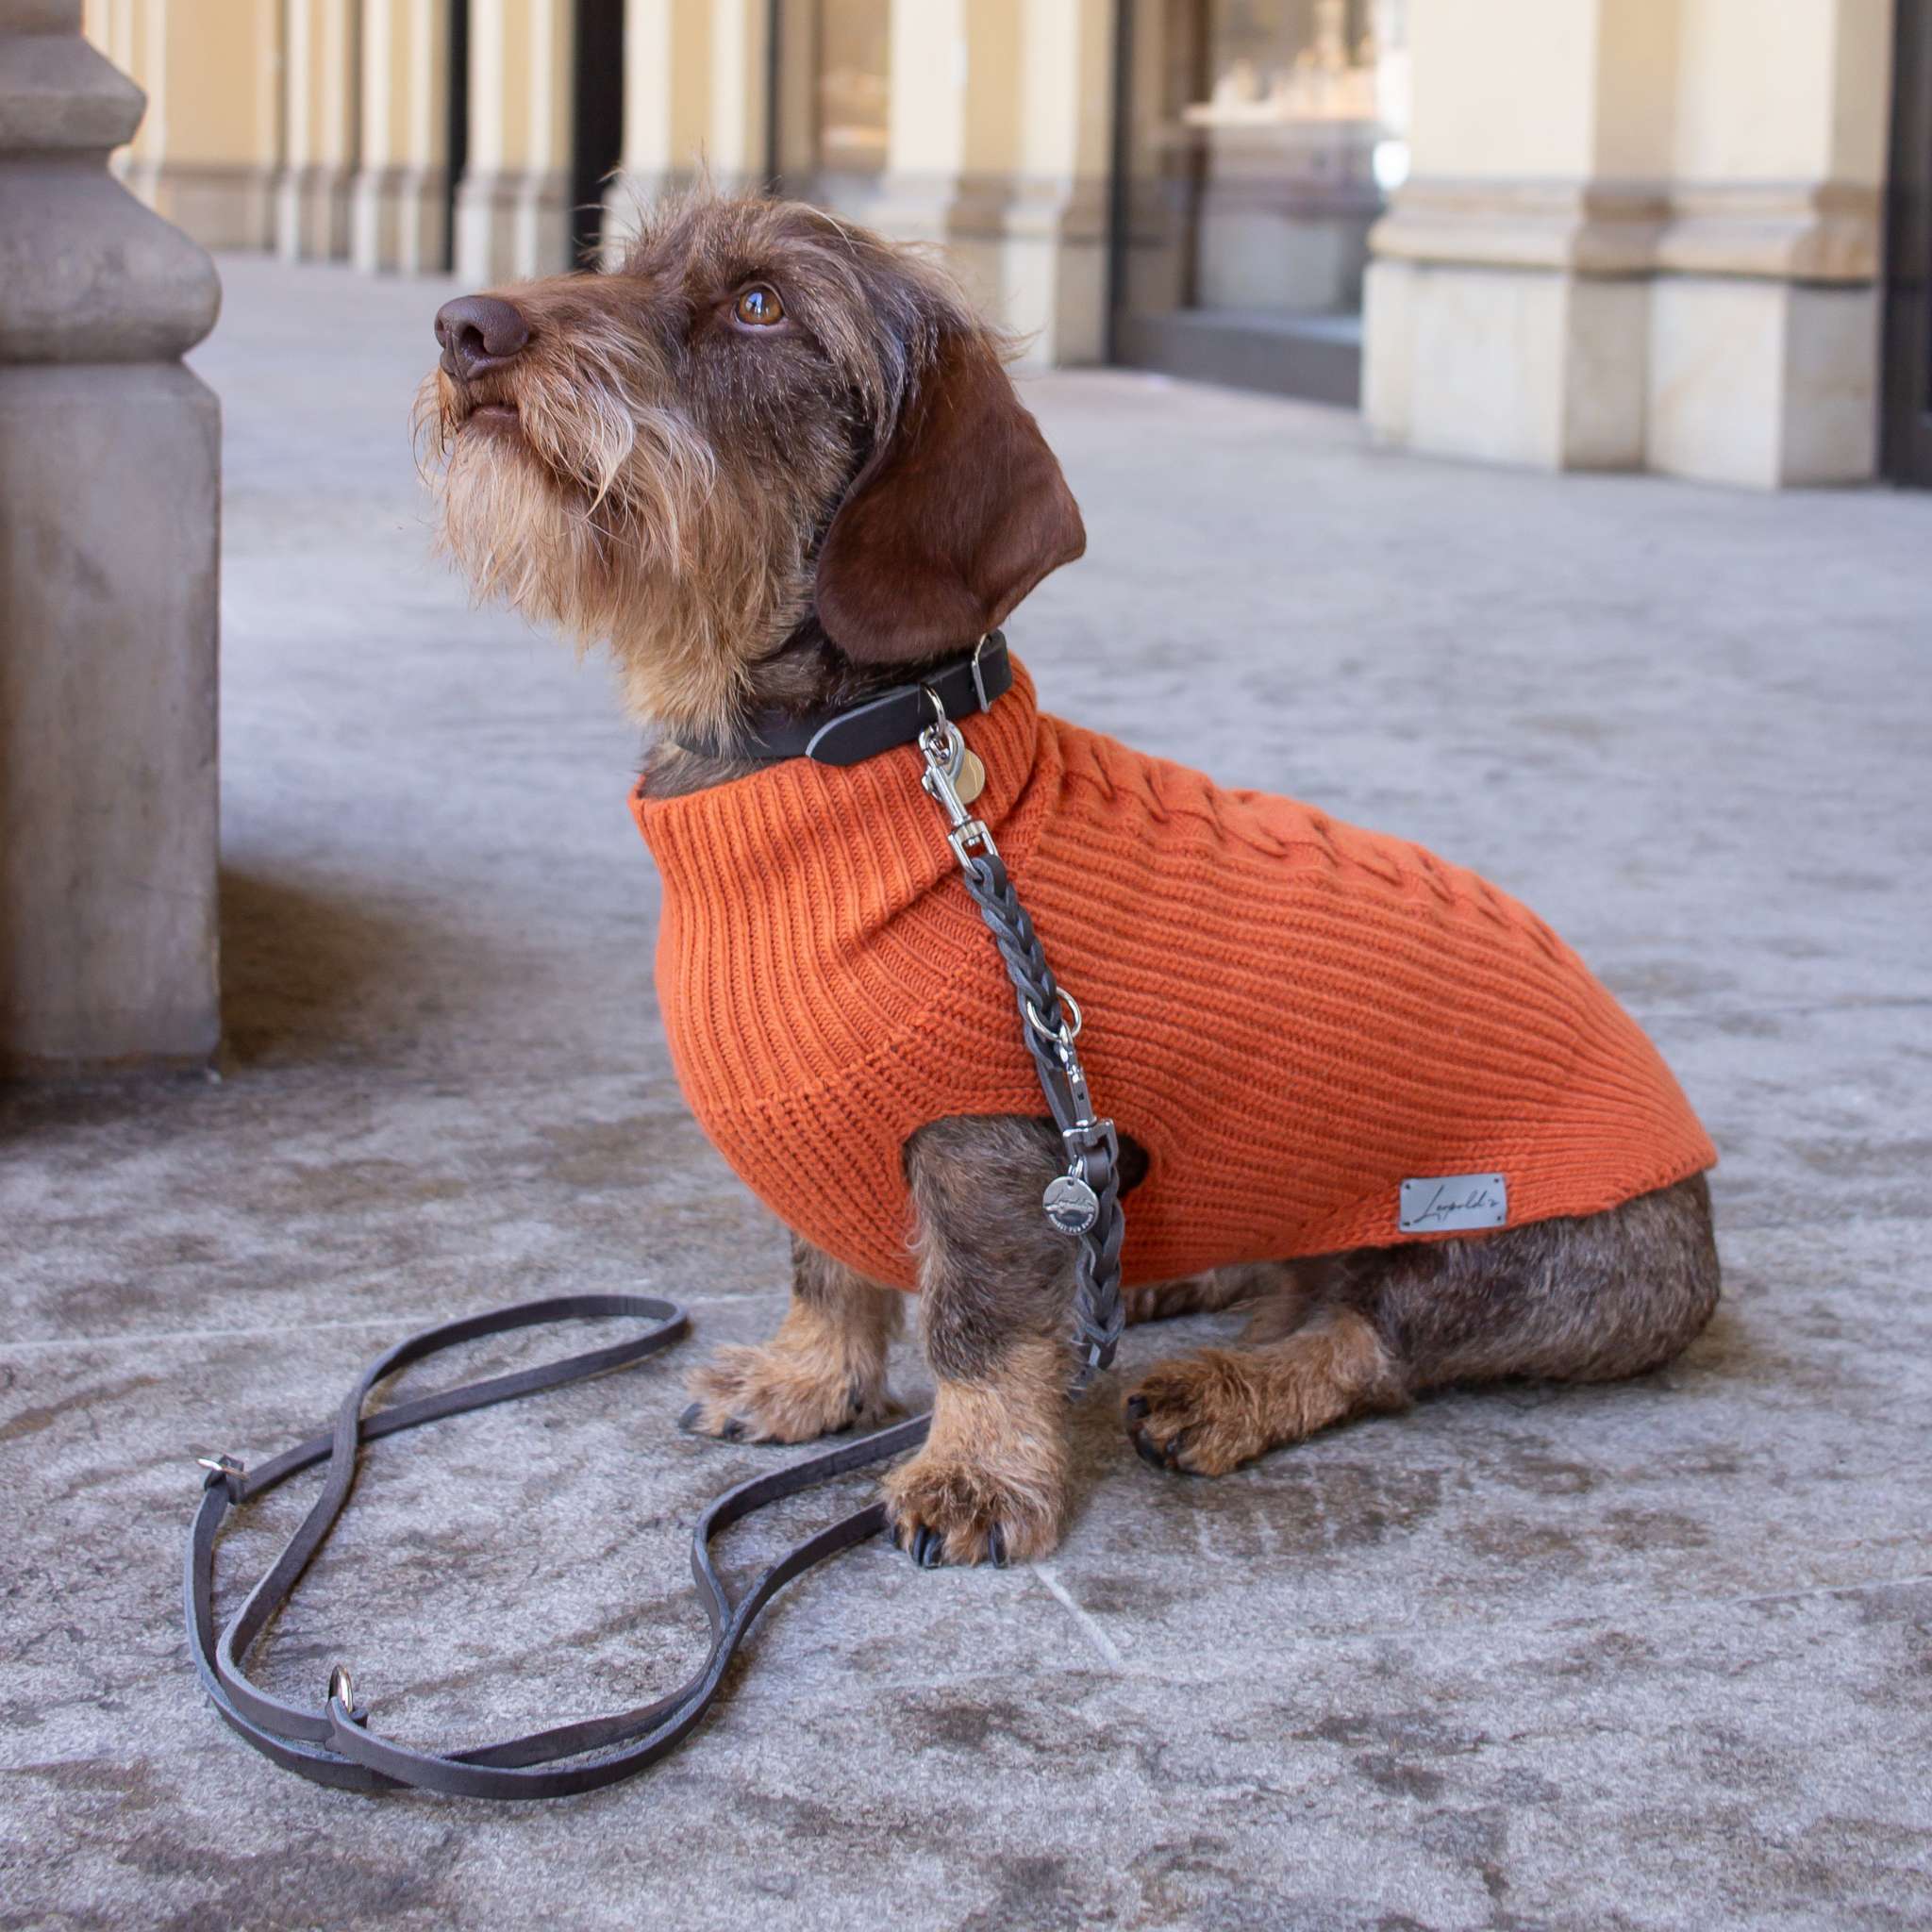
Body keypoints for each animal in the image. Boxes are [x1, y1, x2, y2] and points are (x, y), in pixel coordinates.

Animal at [419, 192, 1723, 1568]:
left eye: (761, 304)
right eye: (621, 261)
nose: (464, 326)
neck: (852, 765)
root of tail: (1693, 1182)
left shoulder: (990, 1151)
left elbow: (979, 1325)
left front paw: (974, 1471)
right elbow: (826, 1268)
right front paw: (807, 1379)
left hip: (1495, 1254)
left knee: (1367, 1340)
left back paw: (1228, 1384)